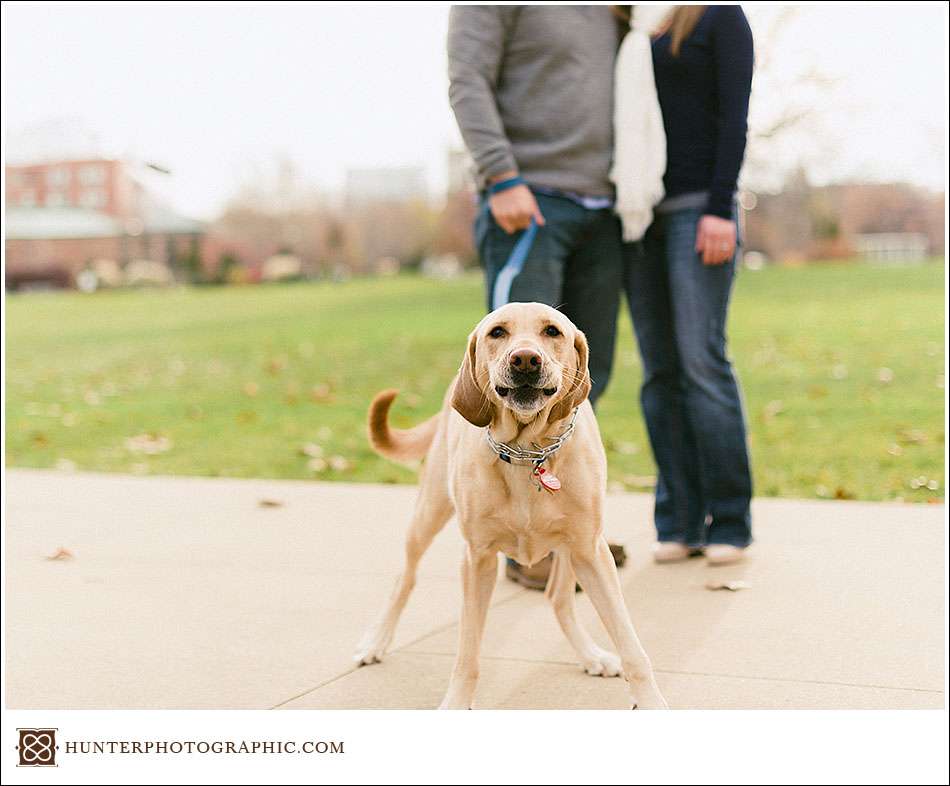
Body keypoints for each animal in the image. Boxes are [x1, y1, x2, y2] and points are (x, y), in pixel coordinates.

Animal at [354, 302, 664, 712]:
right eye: (497, 332)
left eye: (552, 332)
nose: (525, 359)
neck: (526, 451)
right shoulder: (478, 558)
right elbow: (468, 653)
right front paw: (456, 703)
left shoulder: (591, 552)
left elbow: (632, 648)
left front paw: (651, 702)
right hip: (428, 513)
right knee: (404, 579)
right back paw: (376, 641)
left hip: (572, 549)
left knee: (558, 599)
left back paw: (590, 654)